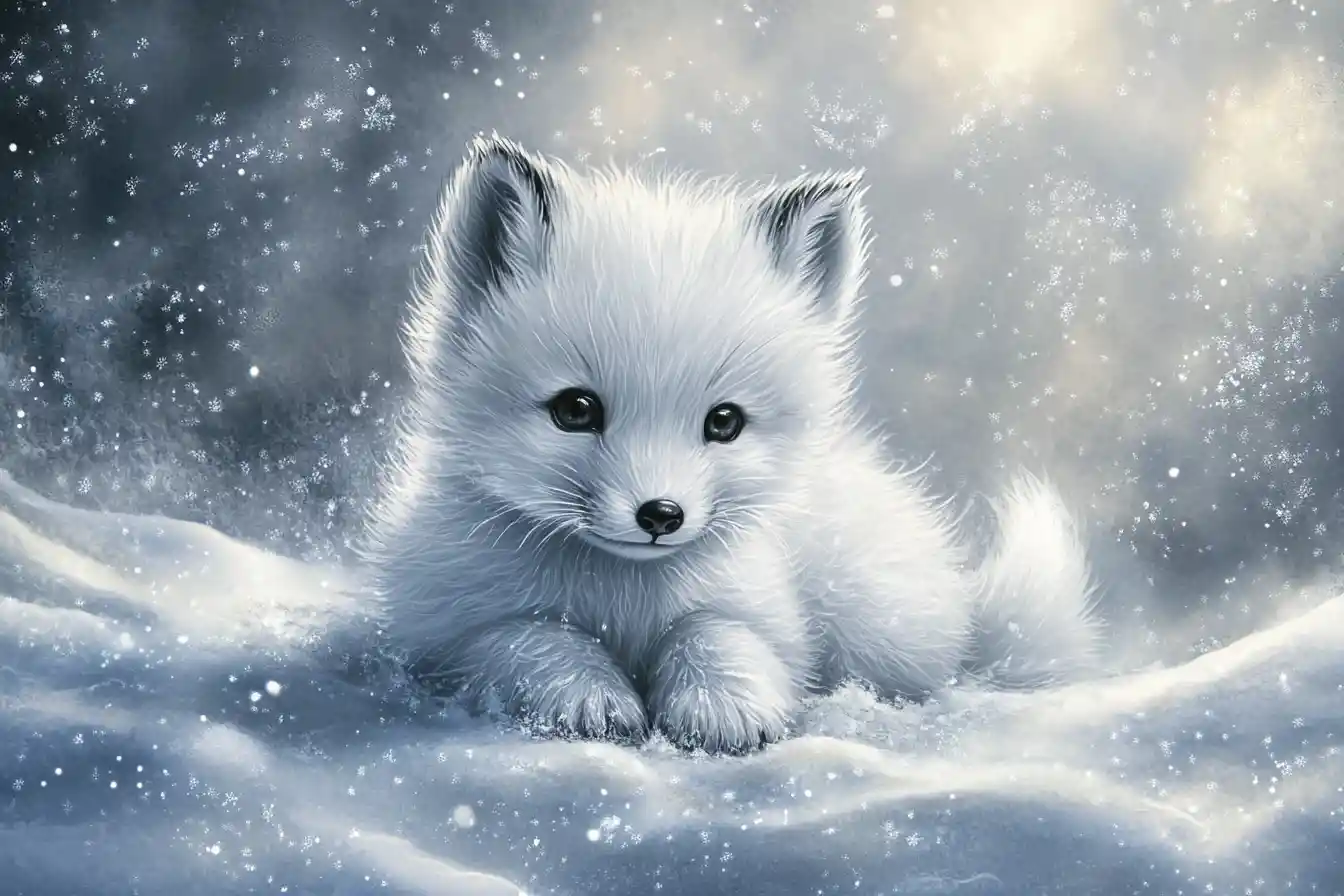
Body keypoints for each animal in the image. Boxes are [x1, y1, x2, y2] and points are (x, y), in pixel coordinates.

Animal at [360, 134, 1101, 755]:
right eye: (576, 410)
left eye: (723, 422)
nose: (660, 516)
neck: (626, 594)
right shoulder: (445, 632)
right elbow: (529, 635)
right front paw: (591, 698)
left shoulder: (760, 610)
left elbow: (718, 632)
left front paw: (721, 711)